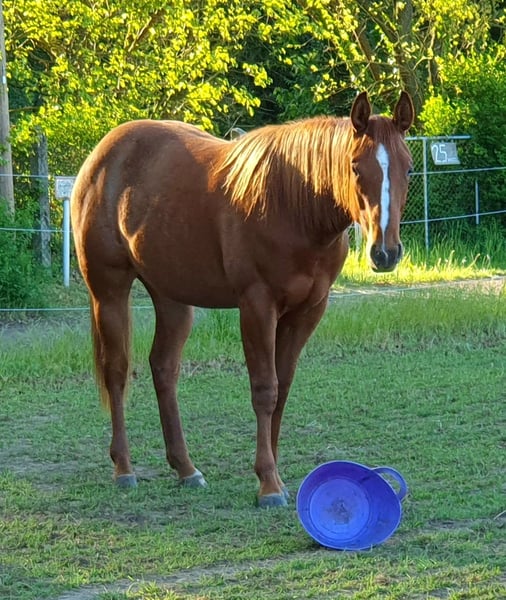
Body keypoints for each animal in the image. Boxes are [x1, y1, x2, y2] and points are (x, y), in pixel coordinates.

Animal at [71, 91, 414, 508]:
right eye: (354, 167)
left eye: (408, 168)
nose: (385, 252)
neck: (293, 204)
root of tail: (100, 158)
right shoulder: (257, 307)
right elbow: (265, 389)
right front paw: (268, 483)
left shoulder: (308, 312)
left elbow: (283, 388)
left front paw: (275, 472)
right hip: (109, 291)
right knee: (117, 371)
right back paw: (124, 468)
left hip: (172, 299)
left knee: (164, 369)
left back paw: (186, 468)